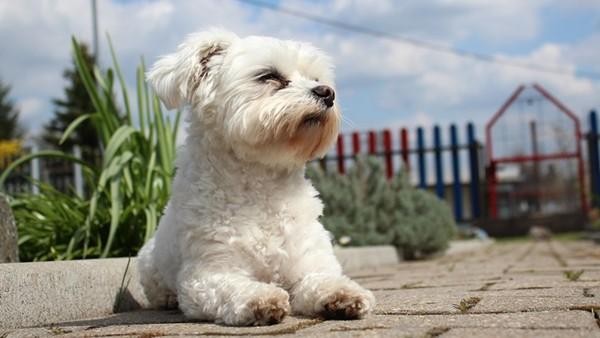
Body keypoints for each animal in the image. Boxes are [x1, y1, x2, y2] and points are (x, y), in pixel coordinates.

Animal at [138, 30, 376, 326]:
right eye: (268, 76)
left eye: (316, 79)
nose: (327, 92)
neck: (263, 187)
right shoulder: (208, 274)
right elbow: (233, 287)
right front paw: (261, 298)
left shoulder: (309, 260)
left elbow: (321, 279)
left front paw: (343, 293)